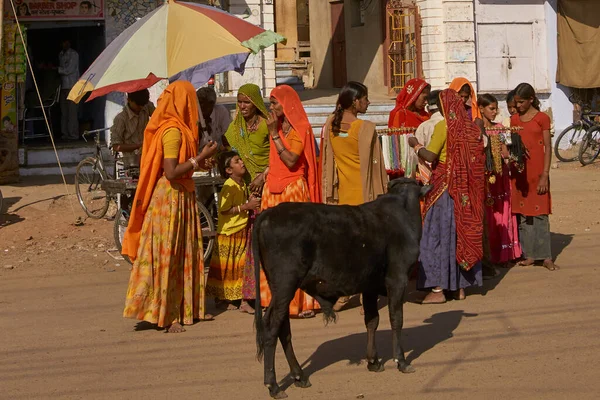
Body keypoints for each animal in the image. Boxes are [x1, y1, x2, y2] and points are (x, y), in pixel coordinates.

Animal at [251, 179, 428, 400]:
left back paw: (299, 376)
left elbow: (372, 321)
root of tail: (269, 213)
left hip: (280, 290)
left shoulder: (369, 286)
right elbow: (396, 319)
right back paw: (274, 385)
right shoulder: (398, 280)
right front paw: (401, 361)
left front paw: (373, 361)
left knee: (282, 328)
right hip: (285, 284)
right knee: (271, 328)